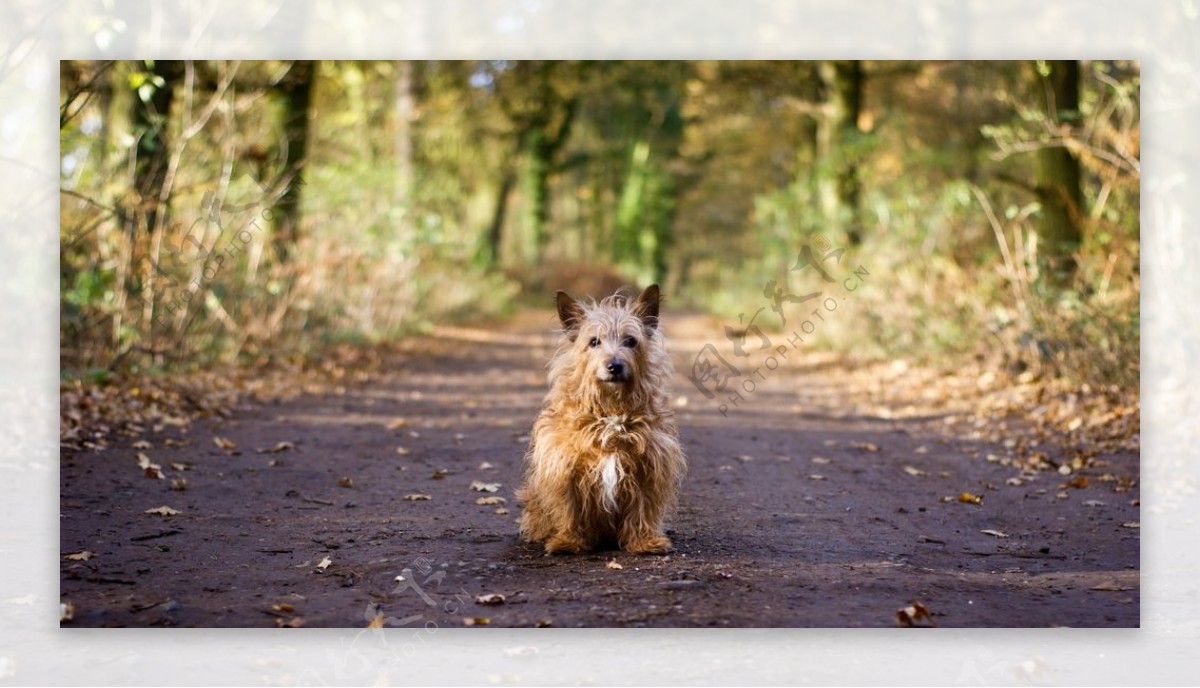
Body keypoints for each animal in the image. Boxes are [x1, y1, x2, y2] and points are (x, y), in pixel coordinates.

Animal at [516, 282, 686, 554]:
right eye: (594, 341)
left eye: (630, 341)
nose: (614, 366)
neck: (611, 411)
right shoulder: (563, 466)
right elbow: (569, 506)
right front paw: (568, 540)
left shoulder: (650, 465)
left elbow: (643, 506)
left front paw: (644, 541)